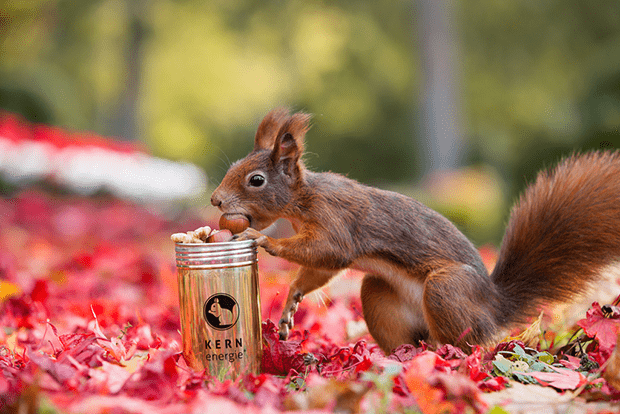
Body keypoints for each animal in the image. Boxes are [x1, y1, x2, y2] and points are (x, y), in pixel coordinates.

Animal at [211, 107, 620, 352]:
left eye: (256, 180)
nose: (215, 200)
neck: (303, 201)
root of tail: (494, 308)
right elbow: (318, 270)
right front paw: (291, 302)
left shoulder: (335, 220)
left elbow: (328, 252)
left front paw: (261, 239)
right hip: (381, 295)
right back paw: (398, 357)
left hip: (447, 290)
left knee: (466, 345)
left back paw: (444, 355)